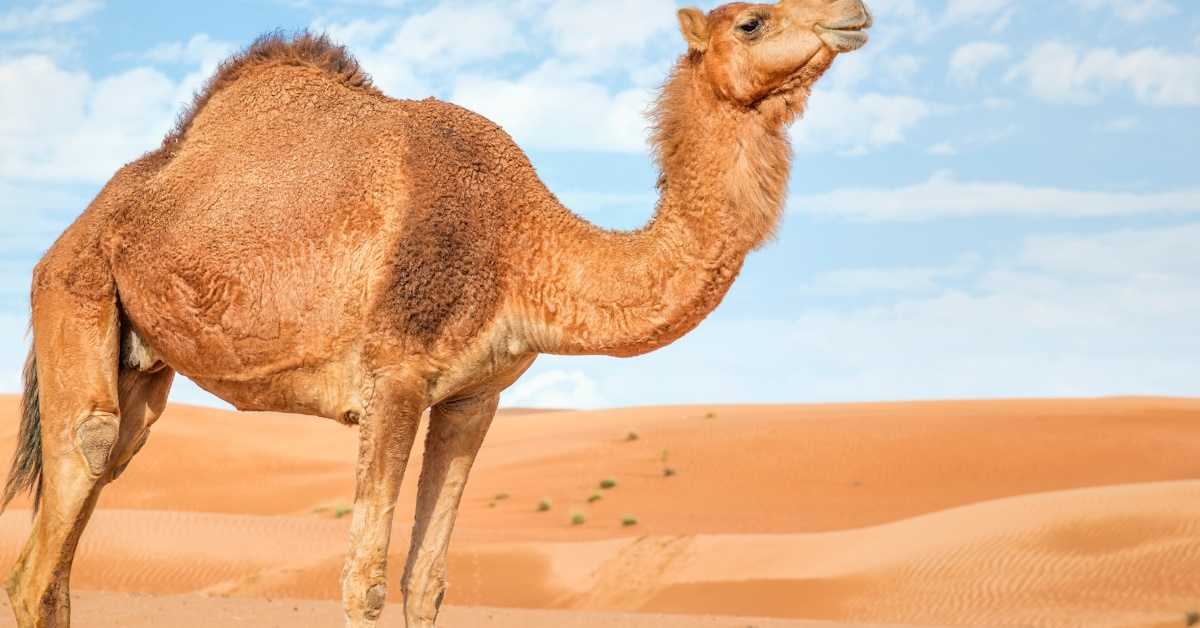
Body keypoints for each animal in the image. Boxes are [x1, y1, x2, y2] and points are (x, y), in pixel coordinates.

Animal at [1, 0, 870, 625]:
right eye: (752, 20)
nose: (853, 12)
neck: (520, 243)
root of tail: (69, 233)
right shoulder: (392, 377)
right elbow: (362, 581)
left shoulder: (473, 396)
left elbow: (427, 581)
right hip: (75, 289)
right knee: (71, 490)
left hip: (140, 362)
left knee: (80, 519)